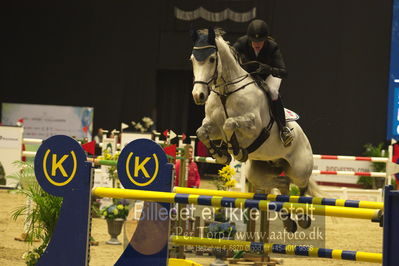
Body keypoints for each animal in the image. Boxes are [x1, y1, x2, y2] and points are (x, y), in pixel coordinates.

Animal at [191, 27, 318, 231]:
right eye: (192, 59)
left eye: (211, 59)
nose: (198, 95)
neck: (227, 92)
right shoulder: (213, 126)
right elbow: (202, 132)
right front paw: (221, 155)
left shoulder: (253, 126)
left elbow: (230, 123)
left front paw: (236, 151)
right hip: (259, 172)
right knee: (283, 183)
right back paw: (288, 221)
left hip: (299, 168)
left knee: (302, 187)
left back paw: (303, 217)